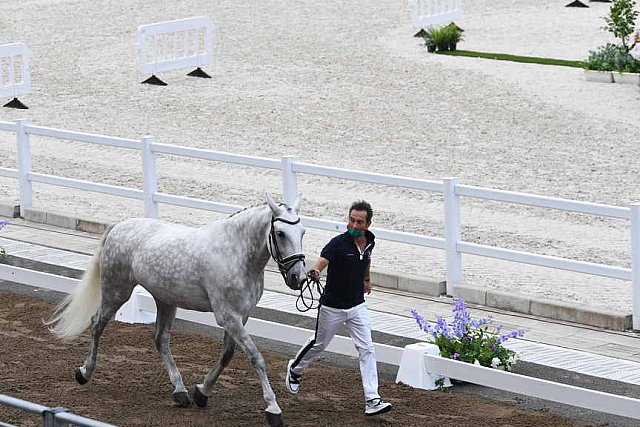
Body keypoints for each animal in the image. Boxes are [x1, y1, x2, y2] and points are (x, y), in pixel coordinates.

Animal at [47, 196, 308, 426]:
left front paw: (201, 392)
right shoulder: (227, 316)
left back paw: (180, 391)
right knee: (97, 324)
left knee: (160, 339)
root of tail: (119, 226)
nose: (299, 278)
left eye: (303, 232)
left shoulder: (240, 316)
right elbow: (256, 358)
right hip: (117, 291)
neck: (236, 254)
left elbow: (227, 355)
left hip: (164, 301)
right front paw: (273, 408)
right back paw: (84, 372)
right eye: (281, 233)